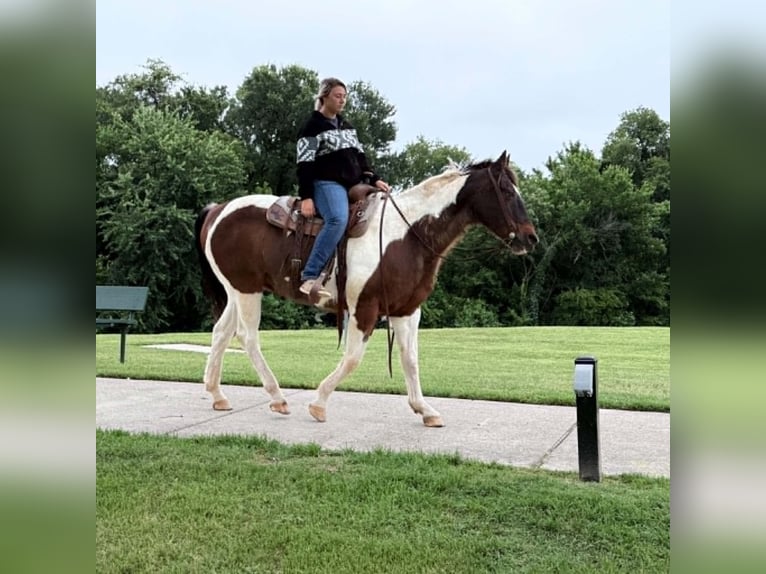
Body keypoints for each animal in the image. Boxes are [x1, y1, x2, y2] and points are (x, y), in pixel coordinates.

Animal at [194, 151, 538, 427]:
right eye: (506, 191)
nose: (530, 237)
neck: (407, 234)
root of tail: (217, 209)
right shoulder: (364, 307)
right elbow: (353, 359)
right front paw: (318, 404)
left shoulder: (407, 310)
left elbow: (410, 359)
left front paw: (425, 410)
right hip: (246, 291)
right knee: (247, 336)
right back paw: (277, 397)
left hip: (236, 291)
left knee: (221, 332)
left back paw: (217, 394)